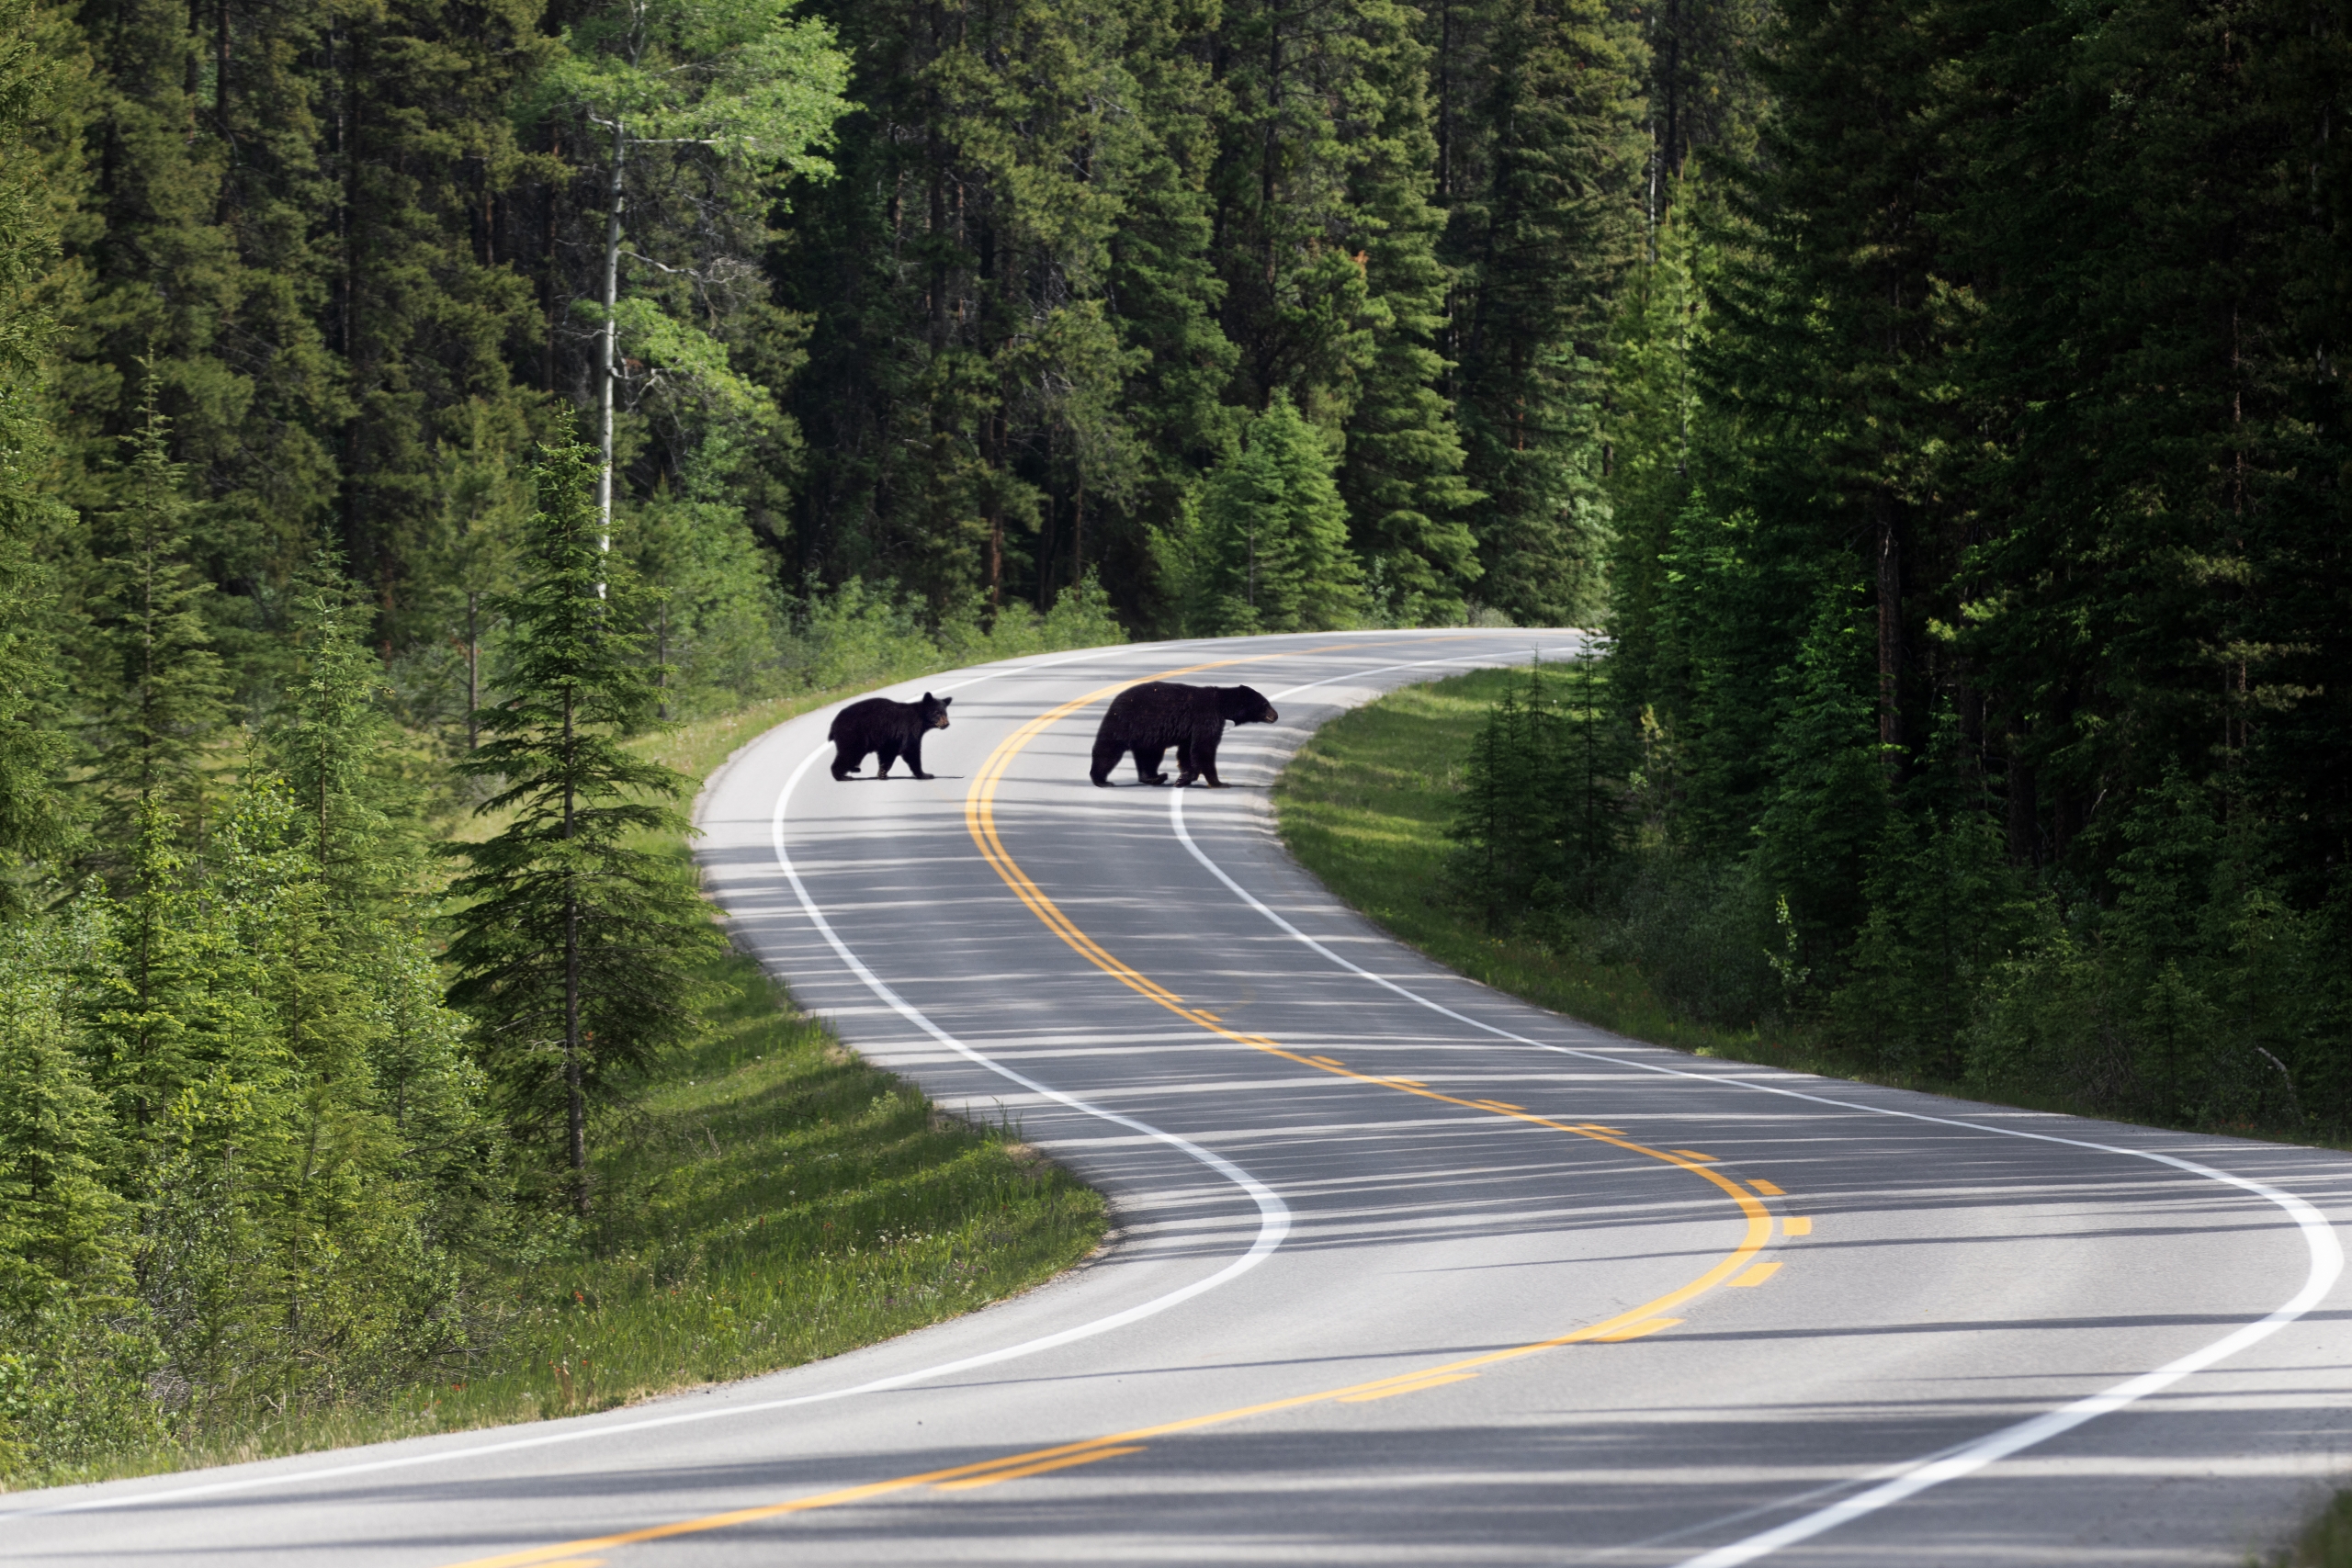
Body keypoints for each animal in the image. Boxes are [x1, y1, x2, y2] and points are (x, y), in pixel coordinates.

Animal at [829, 692, 952, 780]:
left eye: (945, 713)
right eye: (937, 713)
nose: (946, 724)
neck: (921, 718)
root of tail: (834, 724)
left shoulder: (891, 738)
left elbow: (888, 753)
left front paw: (882, 773)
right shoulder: (909, 728)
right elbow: (910, 750)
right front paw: (925, 774)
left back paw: (852, 770)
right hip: (853, 735)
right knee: (849, 753)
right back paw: (842, 776)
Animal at [1089, 682, 1279, 788]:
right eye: (1265, 704)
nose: (1276, 715)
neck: (1221, 705)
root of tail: (1115, 701)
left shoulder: (1191, 729)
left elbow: (1187, 752)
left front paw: (1184, 777)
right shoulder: (1206, 718)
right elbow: (1204, 749)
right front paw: (1219, 782)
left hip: (1147, 736)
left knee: (1149, 756)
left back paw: (1155, 777)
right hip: (1126, 723)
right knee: (1108, 750)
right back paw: (1101, 780)